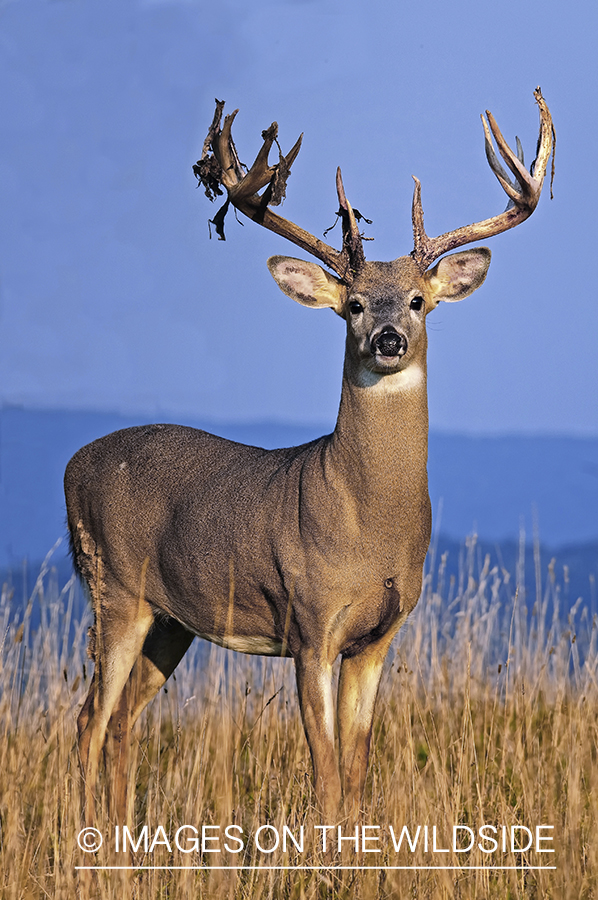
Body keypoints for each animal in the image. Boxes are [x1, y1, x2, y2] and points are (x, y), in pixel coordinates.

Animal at [64, 88, 552, 828]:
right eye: (352, 305)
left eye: (419, 301)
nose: (387, 337)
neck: (366, 524)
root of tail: (72, 465)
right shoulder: (309, 623)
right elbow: (323, 769)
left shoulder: (378, 635)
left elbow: (355, 768)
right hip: (112, 587)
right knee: (86, 722)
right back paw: (82, 841)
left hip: (169, 620)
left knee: (121, 721)